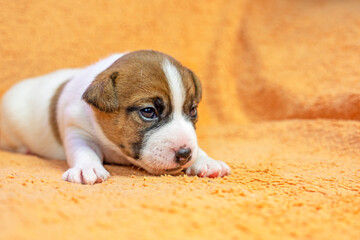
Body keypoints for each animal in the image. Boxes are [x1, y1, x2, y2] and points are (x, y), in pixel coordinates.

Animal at [0, 50, 231, 184]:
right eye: (148, 111)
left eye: (193, 111)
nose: (184, 154)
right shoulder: (76, 130)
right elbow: (83, 150)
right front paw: (86, 167)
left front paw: (206, 160)